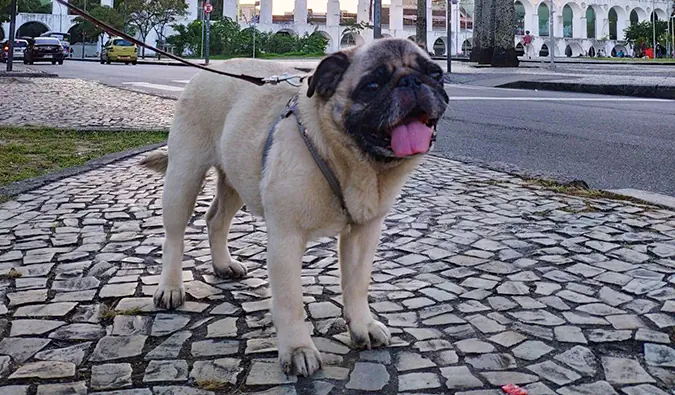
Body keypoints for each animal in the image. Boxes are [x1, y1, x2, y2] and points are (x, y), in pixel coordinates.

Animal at [141, 37, 452, 378]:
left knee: (216, 220)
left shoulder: (363, 234)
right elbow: (291, 301)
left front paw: (362, 326)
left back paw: (224, 265)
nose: (412, 81)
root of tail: (208, 70)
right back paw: (170, 288)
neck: (348, 161)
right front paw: (298, 349)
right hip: (184, 177)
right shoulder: (286, 239)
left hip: (238, 180)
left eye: (435, 75)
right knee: (174, 237)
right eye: (372, 85)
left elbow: (357, 285)